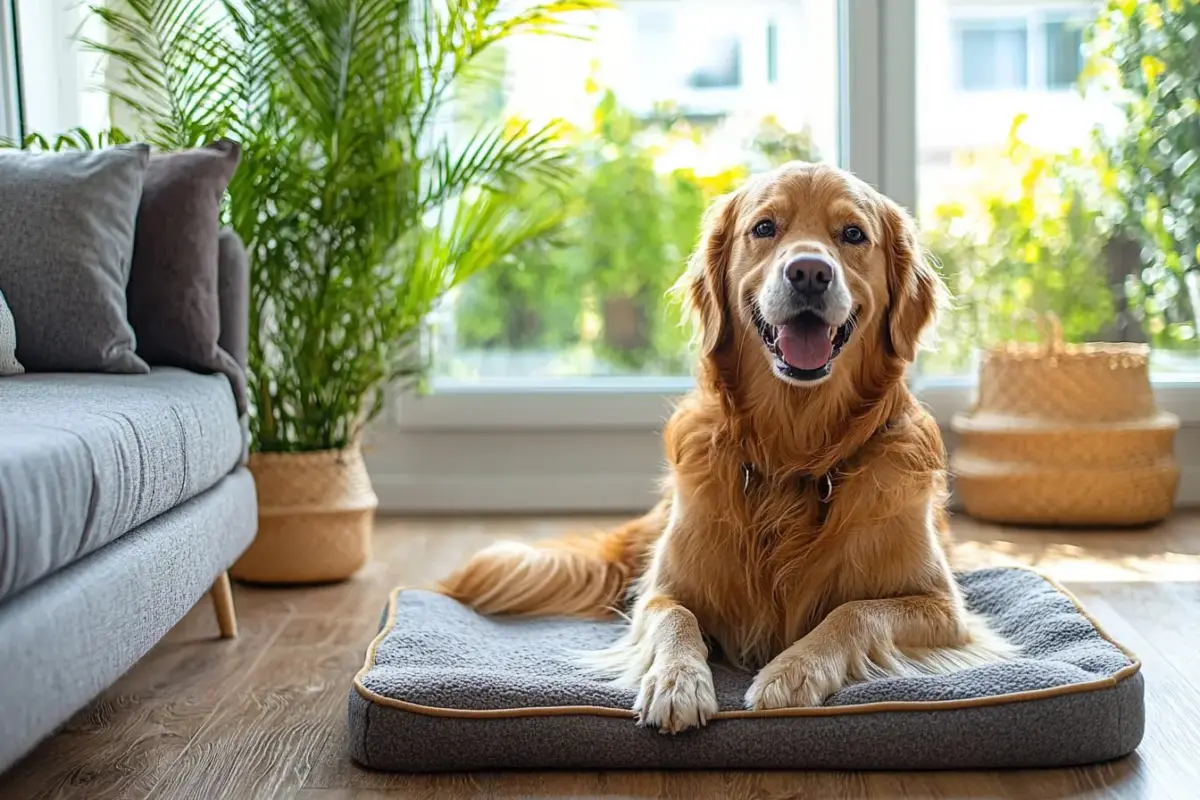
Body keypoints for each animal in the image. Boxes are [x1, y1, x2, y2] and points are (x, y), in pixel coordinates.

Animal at [436, 163, 1017, 738]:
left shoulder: (943, 608)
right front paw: (677, 683)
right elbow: (676, 617)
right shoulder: (662, 588)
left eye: (853, 234)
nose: (810, 272)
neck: (794, 452)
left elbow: (854, 612)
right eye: (764, 228)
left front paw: (792, 671)